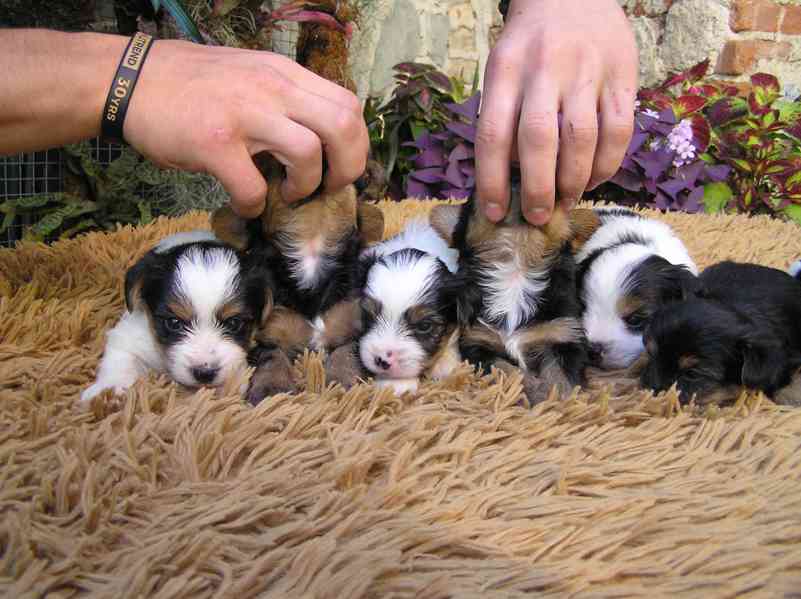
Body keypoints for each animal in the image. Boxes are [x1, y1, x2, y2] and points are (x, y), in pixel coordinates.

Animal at [81, 230, 274, 404]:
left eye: (234, 323)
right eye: (174, 323)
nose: (205, 373)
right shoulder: (129, 337)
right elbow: (121, 359)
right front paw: (109, 390)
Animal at [212, 175, 384, 408]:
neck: (310, 251)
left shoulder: (354, 319)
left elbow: (348, 350)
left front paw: (341, 381)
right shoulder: (268, 333)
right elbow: (271, 355)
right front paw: (272, 388)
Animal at [432, 178, 600, 404]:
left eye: (555, 194)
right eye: (478, 193)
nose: (516, 174)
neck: (515, 268)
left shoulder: (563, 336)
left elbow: (559, 376)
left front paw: (558, 400)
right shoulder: (478, 345)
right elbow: (509, 371)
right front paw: (537, 391)